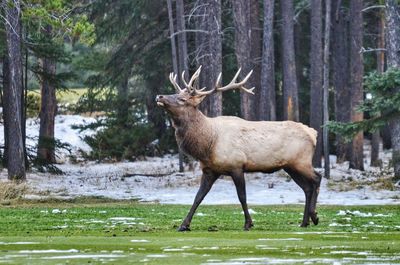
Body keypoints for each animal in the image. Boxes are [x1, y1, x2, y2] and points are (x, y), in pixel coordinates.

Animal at [156, 65, 322, 229]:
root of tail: (313, 133)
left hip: (301, 161)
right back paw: (304, 222)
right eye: (175, 93)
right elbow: (198, 197)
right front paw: (184, 225)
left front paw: (248, 223)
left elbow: (242, 196)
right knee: (307, 187)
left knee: (317, 178)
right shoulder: (209, 170)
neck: (208, 144)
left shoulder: (236, 165)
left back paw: (314, 216)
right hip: (290, 166)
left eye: (182, 99)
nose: (159, 96)